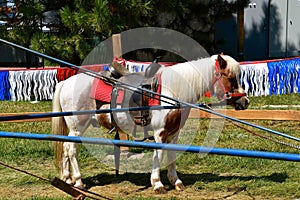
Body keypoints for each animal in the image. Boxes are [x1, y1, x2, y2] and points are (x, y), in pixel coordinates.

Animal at [52, 54, 250, 194]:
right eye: (231, 78)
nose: (245, 102)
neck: (171, 92)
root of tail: (65, 83)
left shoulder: (174, 133)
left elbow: (172, 155)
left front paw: (176, 181)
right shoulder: (159, 133)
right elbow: (159, 155)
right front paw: (158, 184)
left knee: (65, 148)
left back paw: (67, 179)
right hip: (77, 127)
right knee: (71, 149)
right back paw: (79, 181)